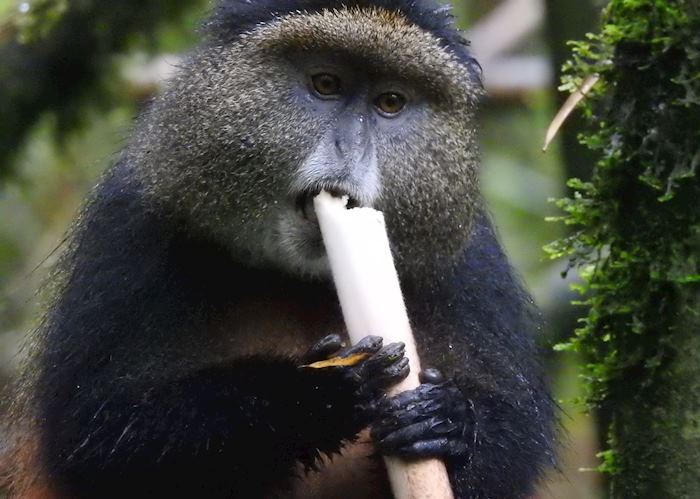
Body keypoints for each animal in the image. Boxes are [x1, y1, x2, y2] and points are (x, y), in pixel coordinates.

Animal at [5, 0, 555, 498]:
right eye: (327, 85)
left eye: (390, 103)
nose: (349, 148)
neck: (298, 275)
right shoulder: (131, 225)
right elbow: (94, 439)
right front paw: (313, 397)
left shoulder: (472, 259)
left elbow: (512, 452)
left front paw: (445, 421)